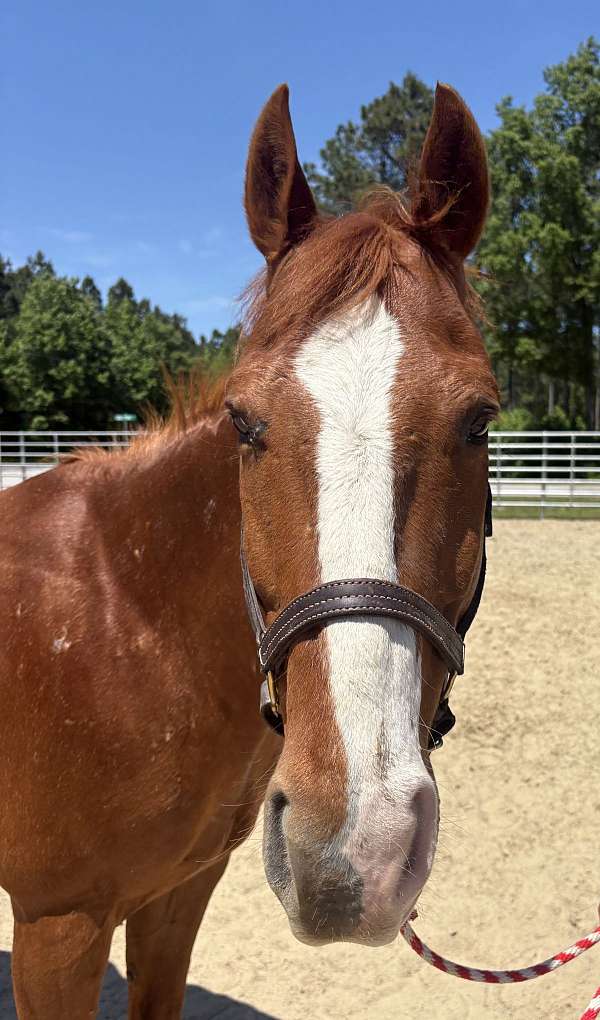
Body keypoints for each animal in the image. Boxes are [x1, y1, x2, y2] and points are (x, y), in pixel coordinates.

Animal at [0, 81, 499, 1018]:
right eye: (242, 422)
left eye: (481, 420)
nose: (352, 855)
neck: (130, 625)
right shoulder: (58, 927)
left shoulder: (176, 893)